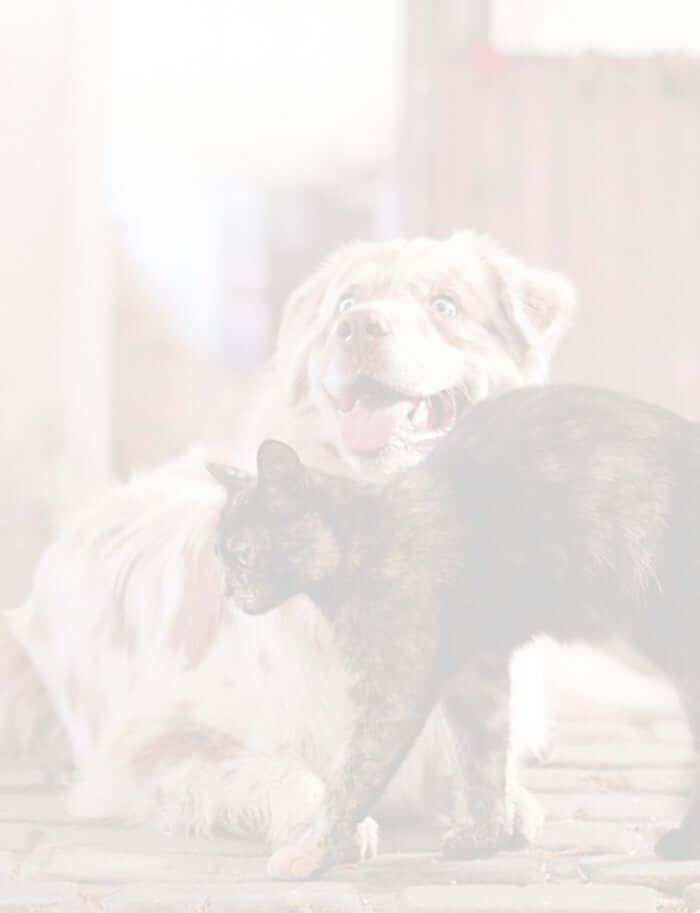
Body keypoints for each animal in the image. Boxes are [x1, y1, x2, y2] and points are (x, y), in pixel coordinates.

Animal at [2, 232, 576, 860]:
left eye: (445, 306)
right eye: (346, 304)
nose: (359, 327)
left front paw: (500, 802)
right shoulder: (147, 743)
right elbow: (283, 771)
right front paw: (326, 821)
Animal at [211, 382, 700, 876]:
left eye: (243, 555)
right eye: (221, 555)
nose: (227, 591)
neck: (367, 537)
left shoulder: (393, 687)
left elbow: (350, 778)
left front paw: (311, 850)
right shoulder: (474, 674)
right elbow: (482, 759)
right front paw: (485, 837)